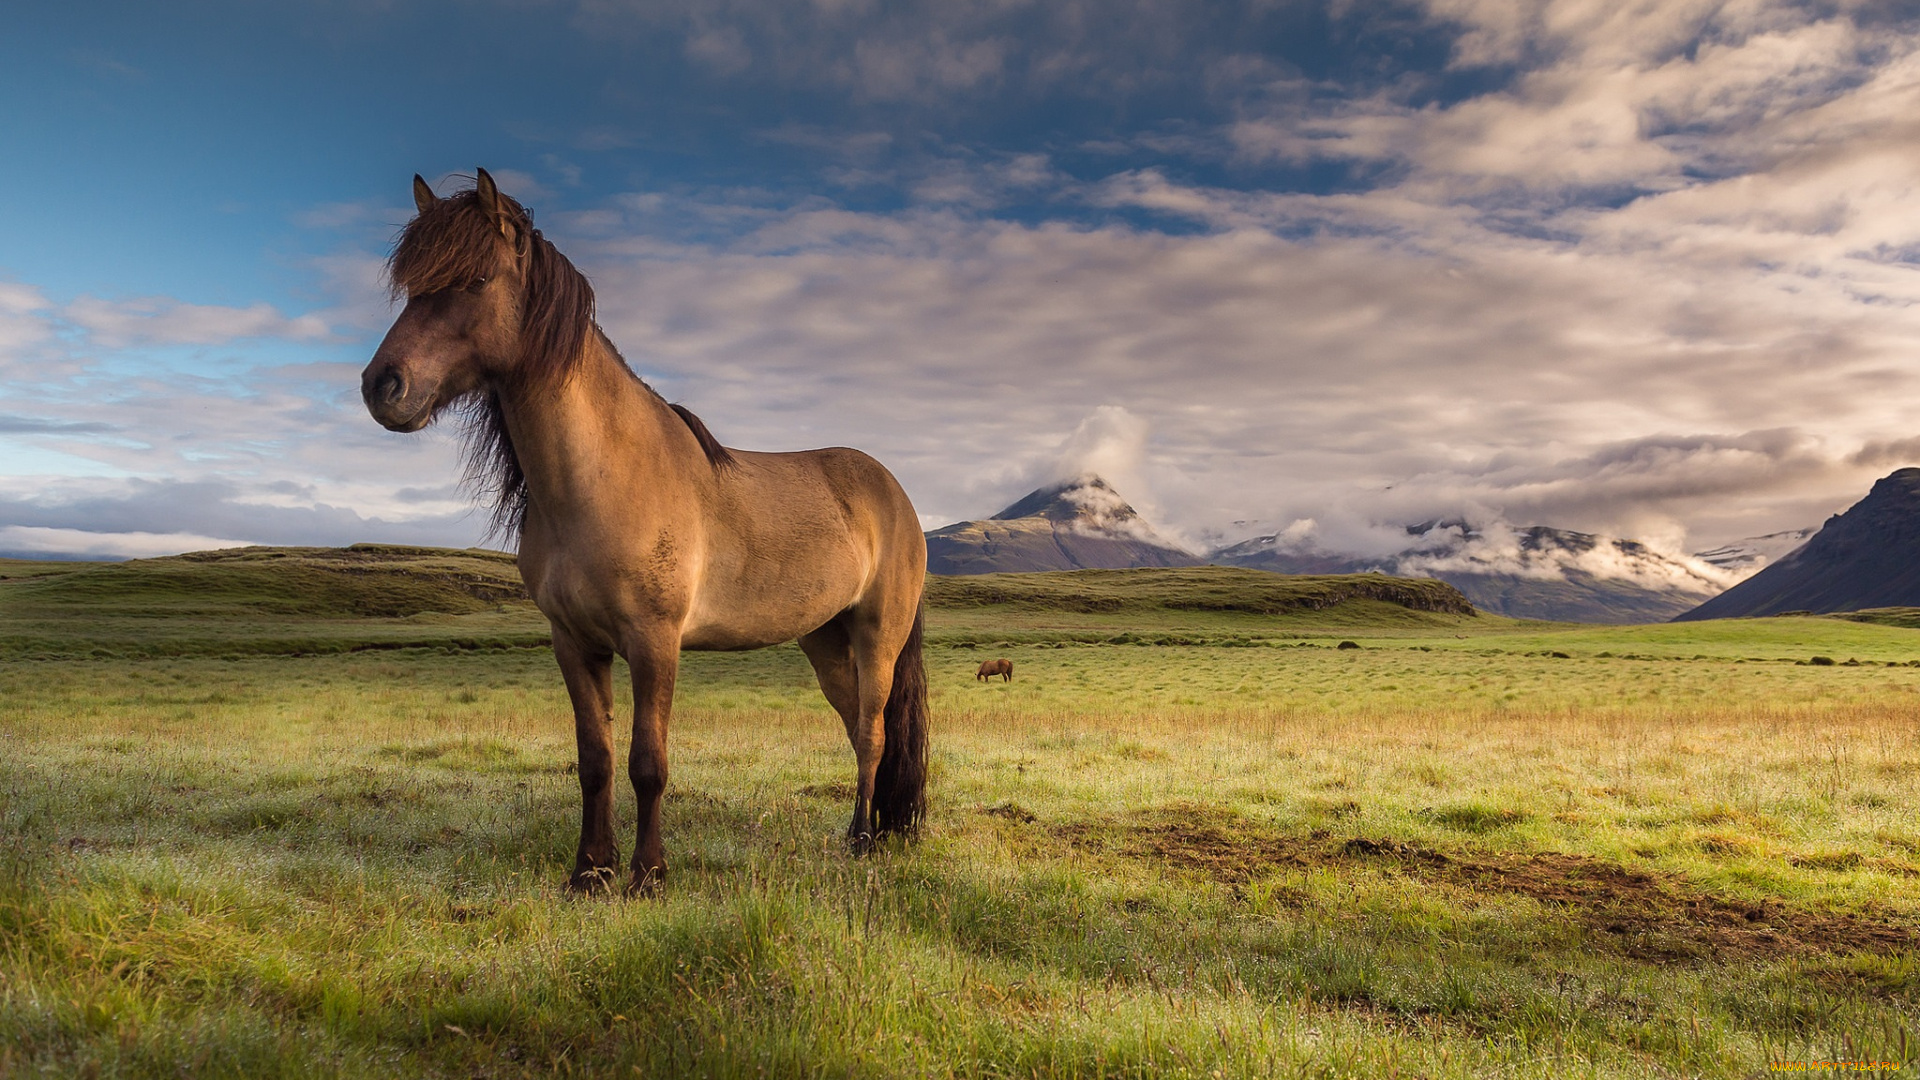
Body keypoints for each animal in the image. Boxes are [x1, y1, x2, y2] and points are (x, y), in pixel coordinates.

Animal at [362, 170, 933, 891]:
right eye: (412, 284)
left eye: (476, 280)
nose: (382, 386)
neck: (604, 478)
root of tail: (895, 495)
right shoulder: (575, 644)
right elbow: (596, 761)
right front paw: (589, 870)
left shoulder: (655, 643)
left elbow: (647, 763)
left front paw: (647, 873)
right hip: (825, 640)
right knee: (858, 728)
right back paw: (873, 830)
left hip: (875, 637)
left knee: (875, 733)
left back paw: (861, 839)